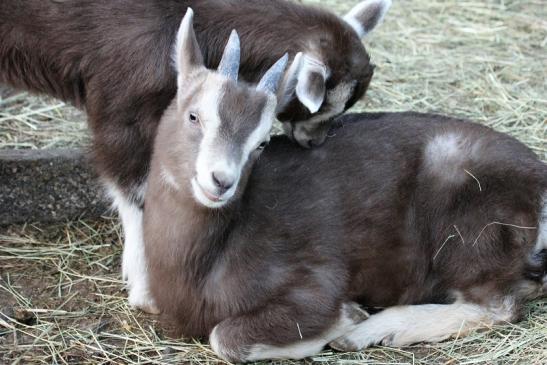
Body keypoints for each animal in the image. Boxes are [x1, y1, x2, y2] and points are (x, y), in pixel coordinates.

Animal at [144, 8, 547, 362]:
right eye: (193, 116)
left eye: (261, 143)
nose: (221, 181)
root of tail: (541, 183)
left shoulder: (316, 280)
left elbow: (224, 337)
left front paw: (347, 317)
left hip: (474, 227)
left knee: (497, 305)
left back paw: (372, 330)